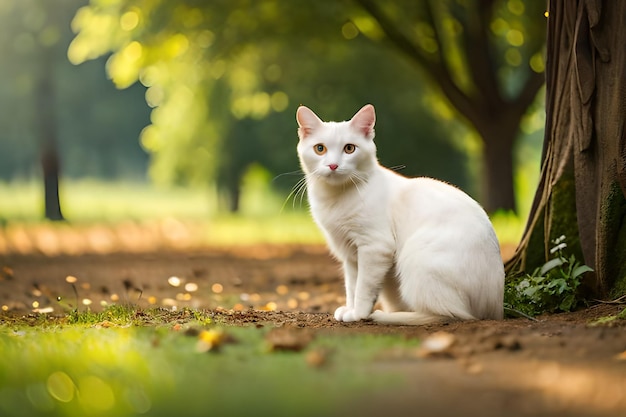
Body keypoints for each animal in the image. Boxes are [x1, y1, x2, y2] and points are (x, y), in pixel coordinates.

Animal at [294, 102, 504, 324]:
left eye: (349, 148)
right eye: (320, 149)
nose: (333, 165)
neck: (336, 198)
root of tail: (495, 308)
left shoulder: (375, 246)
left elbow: (363, 287)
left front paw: (358, 314)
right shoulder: (350, 254)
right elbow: (351, 286)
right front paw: (350, 309)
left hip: (415, 257)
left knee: (451, 314)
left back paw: (385, 316)